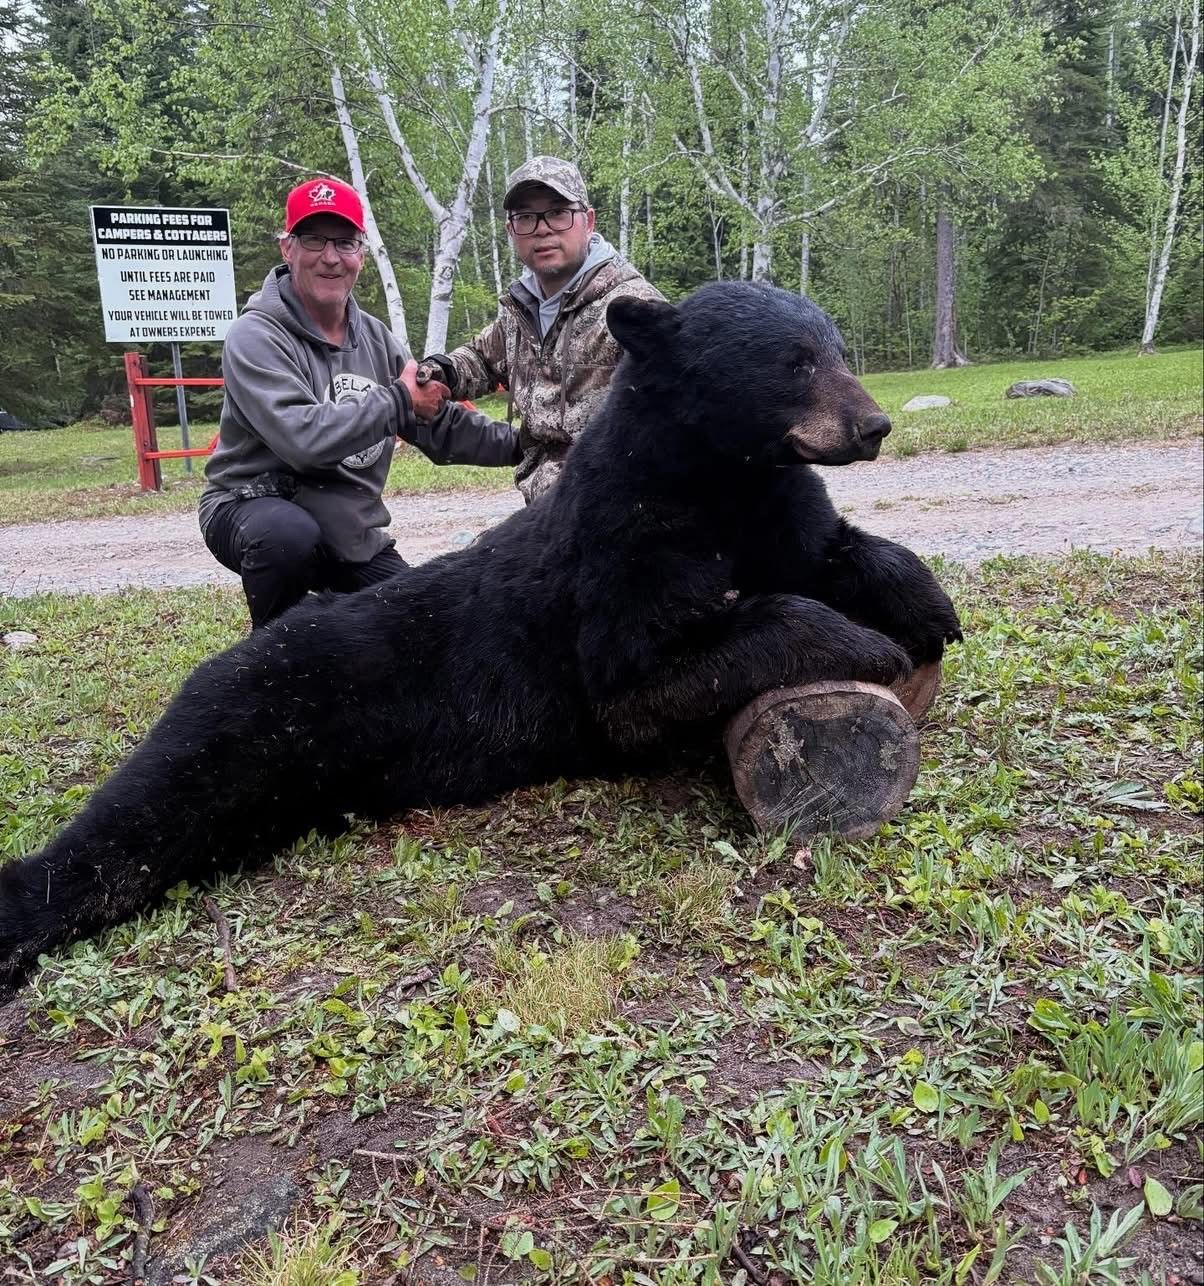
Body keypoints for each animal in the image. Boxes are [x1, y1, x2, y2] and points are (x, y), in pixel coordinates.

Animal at [0, 281, 961, 994]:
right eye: (791, 362)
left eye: (836, 348)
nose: (874, 426)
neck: (719, 481)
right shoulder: (622, 557)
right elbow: (646, 681)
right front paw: (861, 643)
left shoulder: (773, 509)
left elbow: (835, 547)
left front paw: (925, 606)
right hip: (250, 716)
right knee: (134, 822)